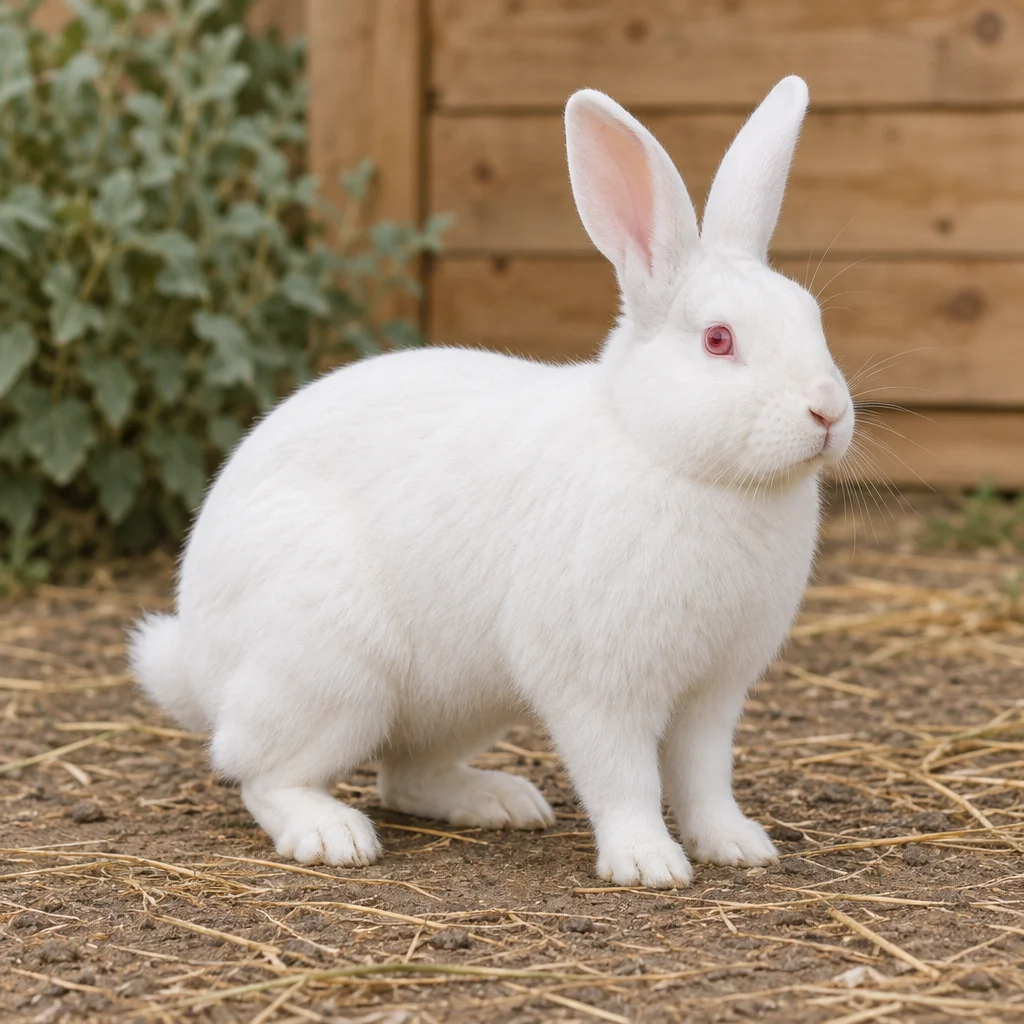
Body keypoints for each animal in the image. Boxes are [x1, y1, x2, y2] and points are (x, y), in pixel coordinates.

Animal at [130, 75, 853, 889]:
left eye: (812, 316)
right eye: (718, 340)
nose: (828, 411)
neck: (664, 451)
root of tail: (198, 661)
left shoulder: (712, 695)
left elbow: (704, 777)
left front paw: (736, 844)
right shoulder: (599, 687)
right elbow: (624, 777)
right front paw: (647, 863)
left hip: (463, 700)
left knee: (405, 775)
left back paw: (502, 802)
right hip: (328, 667)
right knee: (259, 770)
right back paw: (332, 834)